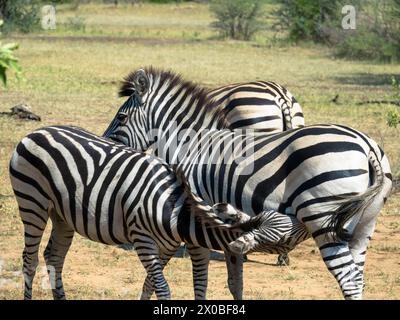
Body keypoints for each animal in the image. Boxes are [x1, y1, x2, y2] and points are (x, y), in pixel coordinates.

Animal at [9, 125, 292, 300]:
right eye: (284, 239)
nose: (286, 259)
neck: (178, 214)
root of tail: (37, 131)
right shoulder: (142, 239)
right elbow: (162, 288)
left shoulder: (166, 246)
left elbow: (150, 284)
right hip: (32, 201)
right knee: (30, 259)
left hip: (62, 214)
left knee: (54, 257)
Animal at [104, 66, 394, 298]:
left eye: (121, 118)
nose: (106, 143)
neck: (191, 144)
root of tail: (366, 145)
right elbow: (235, 280)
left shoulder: (195, 215)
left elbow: (198, 275)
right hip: (364, 223)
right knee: (358, 275)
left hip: (322, 218)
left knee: (349, 280)